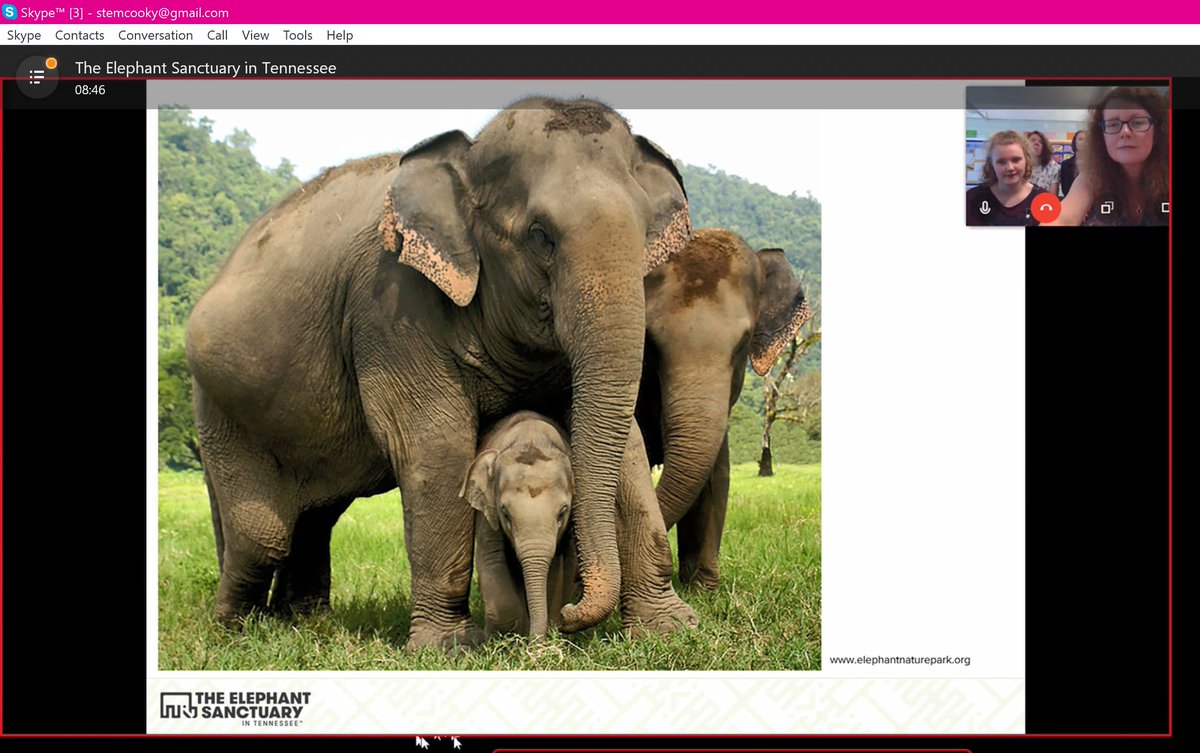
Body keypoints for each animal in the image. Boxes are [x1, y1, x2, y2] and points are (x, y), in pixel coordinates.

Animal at [462, 411, 580, 638]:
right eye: (505, 514)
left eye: (562, 513)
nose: (535, 643)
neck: (530, 437)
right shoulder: (488, 512)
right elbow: (491, 557)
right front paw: (503, 637)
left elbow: (562, 565)